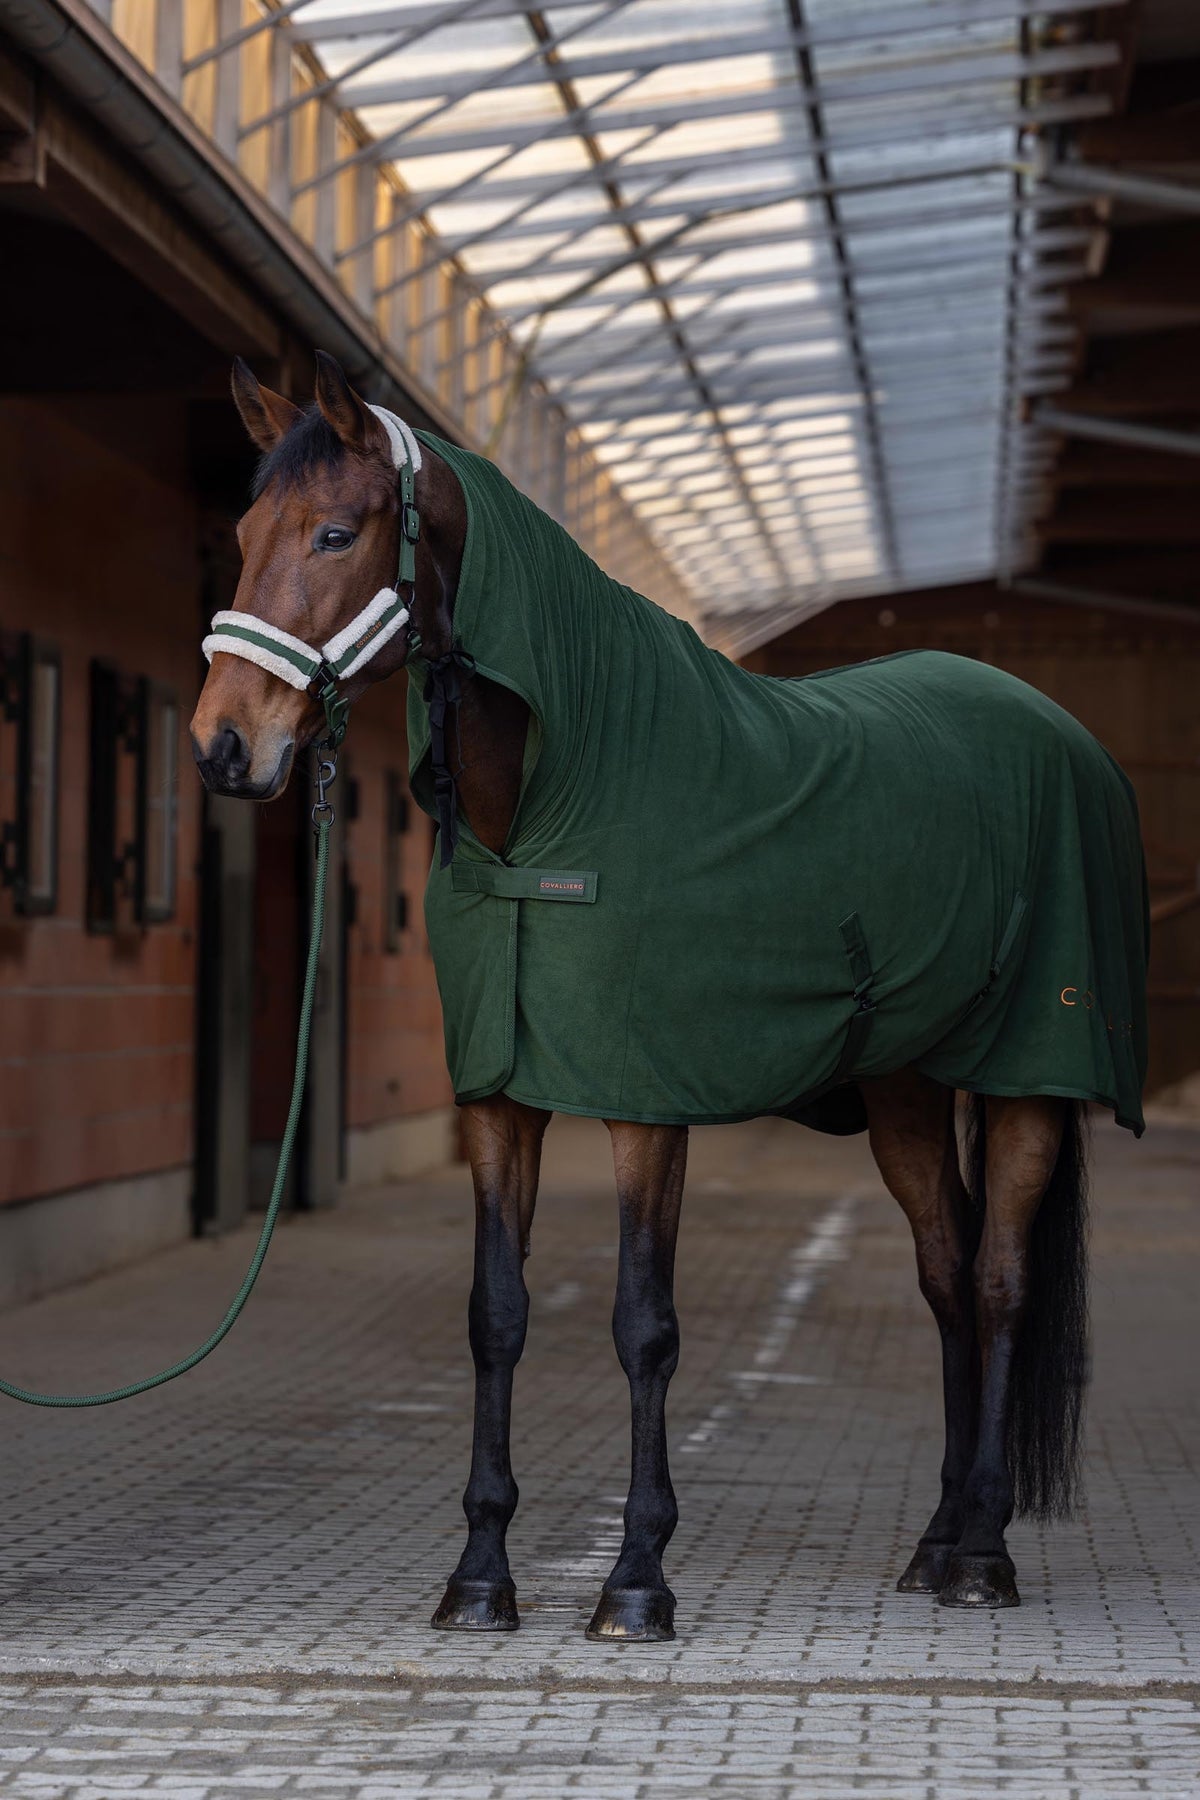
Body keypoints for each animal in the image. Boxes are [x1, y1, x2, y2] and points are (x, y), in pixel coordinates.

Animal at [190, 351, 1147, 1641]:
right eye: (246, 534)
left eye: (337, 532)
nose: (223, 746)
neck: (556, 799)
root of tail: (1060, 731)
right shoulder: (501, 1097)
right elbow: (497, 1315)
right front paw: (480, 1574)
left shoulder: (647, 1103)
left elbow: (643, 1326)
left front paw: (636, 1577)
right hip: (904, 1087)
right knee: (947, 1277)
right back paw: (938, 1541)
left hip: (1027, 1077)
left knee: (1000, 1283)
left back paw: (985, 1553)